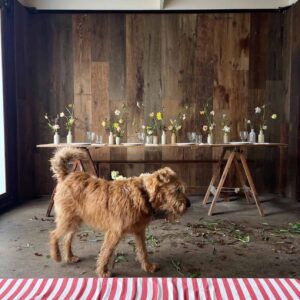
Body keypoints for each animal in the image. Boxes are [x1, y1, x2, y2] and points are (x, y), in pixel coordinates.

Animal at [49, 147, 190, 276]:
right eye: (177, 190)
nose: (189, 204)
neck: (144, 193)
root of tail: (66, 176)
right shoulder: (114, 233)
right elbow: (106, 252)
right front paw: (102, 271)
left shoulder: (139, 232)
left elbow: (143, 251)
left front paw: (148, 266)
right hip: (67, 220)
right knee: (54, 235)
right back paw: (56, 255)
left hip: (74, 221)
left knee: (67, 238)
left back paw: (70, 257)